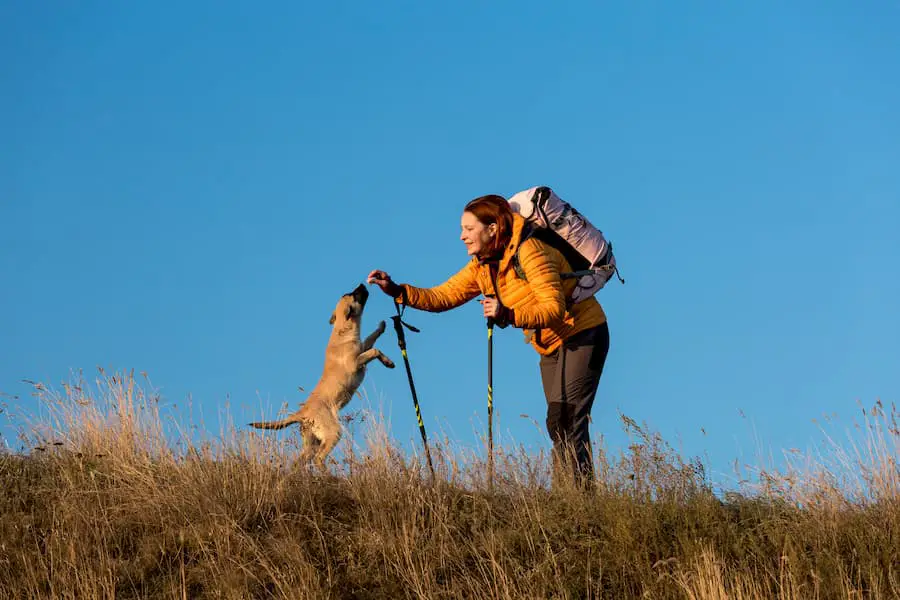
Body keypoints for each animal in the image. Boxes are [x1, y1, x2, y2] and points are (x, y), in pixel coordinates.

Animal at [250, 284, 398, 466]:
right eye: (353, 294)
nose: (362, 285)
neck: (343, 330)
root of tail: (302, 413)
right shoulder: (355, 363)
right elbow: (375, 350)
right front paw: (388, 362)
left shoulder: (362, 348)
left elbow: (371, 341)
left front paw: (381, 329)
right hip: (333, 432)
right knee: (319, 458)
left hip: (311, 443)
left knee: (301, 461)